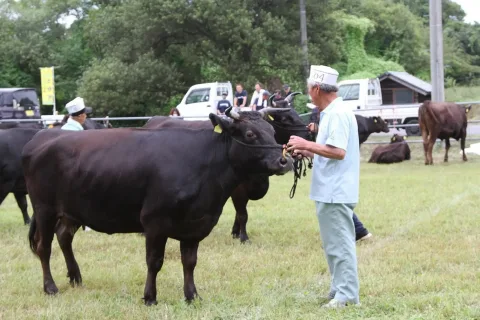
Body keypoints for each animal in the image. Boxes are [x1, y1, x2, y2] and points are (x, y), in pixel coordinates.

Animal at [25, 110, 292, 304]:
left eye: (272, 131)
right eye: (250, 134)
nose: (284, 160)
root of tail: (42, 140)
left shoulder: (195, 224)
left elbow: (190, 262)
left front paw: (192, 295)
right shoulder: (154, 222)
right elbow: (154, 262)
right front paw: (150, 297)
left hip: (71, 211)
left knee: (64, 237)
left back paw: (75, 277)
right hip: (44, 209)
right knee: (44, 247)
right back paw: (50, 287)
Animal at [143, 105, 312, 242]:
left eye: (272, 131)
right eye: (250, 134)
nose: (284, 161)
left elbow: (239, 213)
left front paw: (235, 233)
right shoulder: (238, 189)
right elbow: (243, 214)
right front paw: (244, 237)